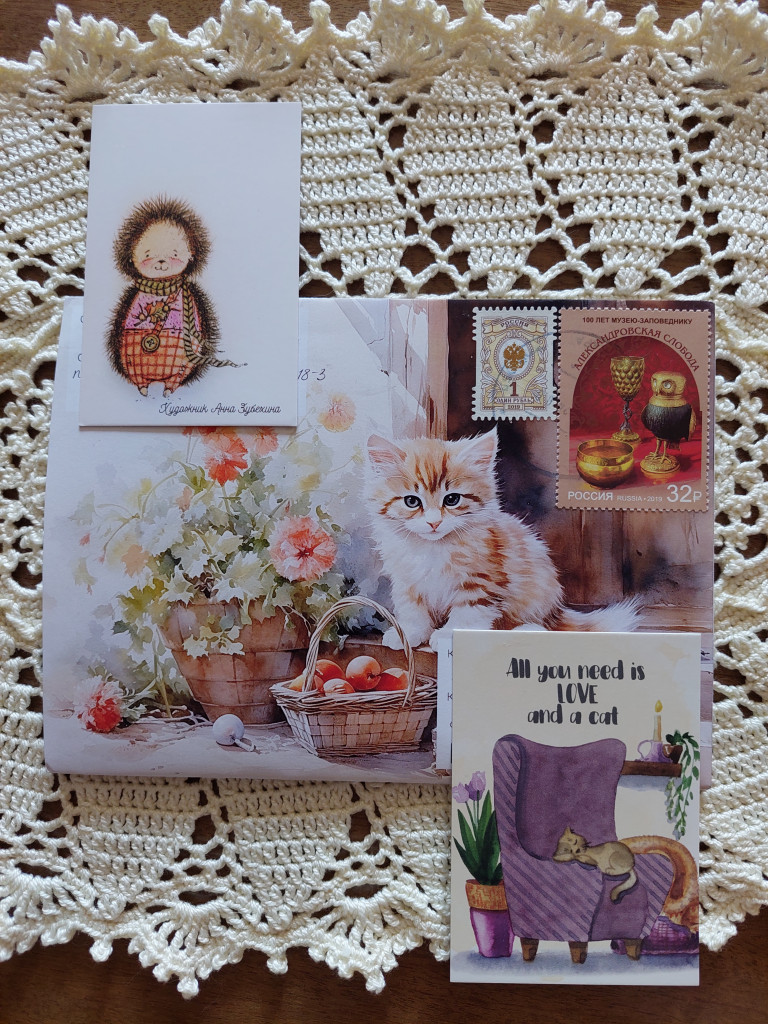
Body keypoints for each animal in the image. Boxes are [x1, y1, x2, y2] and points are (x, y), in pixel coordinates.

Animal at [366, 428, 638, 650]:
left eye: (451, 499)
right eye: (412, 501)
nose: (434, 523)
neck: (433, 548)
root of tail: (557, 610)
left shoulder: (482, 581)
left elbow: (467, 614)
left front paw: (447, 636)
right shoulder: (407, 582)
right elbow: (413, 610)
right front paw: (409, 633)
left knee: (544, 626)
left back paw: (527, 629)